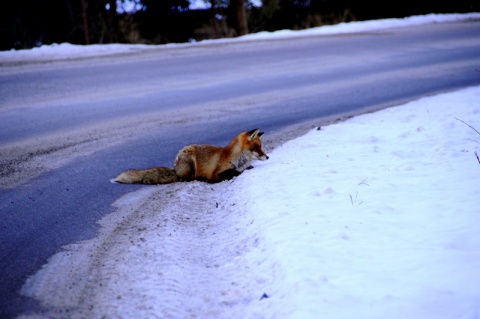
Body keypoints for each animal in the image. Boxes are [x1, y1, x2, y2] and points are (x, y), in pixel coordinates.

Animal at [114, 129, 268, 185]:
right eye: (257, 148)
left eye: (261, 146)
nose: (267, 157)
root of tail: (175, 168)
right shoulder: (215, 174)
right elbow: (233, 172)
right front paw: (243, 170)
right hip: (190, 160)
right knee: (186, 179)